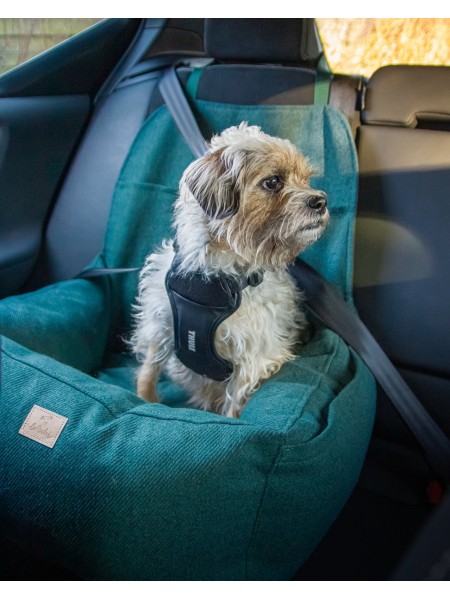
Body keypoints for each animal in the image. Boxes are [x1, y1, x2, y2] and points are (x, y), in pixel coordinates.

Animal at [131, 123, 329, 417]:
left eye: (306, 180)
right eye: (273, 182)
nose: (321, 201)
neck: (214, 273)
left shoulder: (252, 361)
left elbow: (234, 404)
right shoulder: (161, 325)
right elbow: (149, 369)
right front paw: (145, 400)